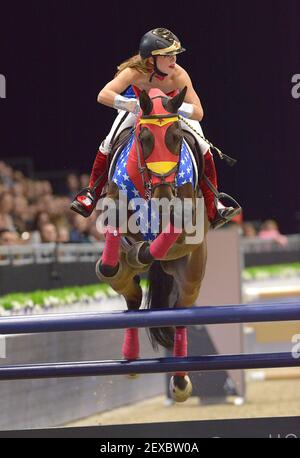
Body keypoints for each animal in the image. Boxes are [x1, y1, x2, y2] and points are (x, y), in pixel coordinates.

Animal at [95, 87, 209, 400]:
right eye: (144, 138)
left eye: (176, 138)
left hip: (191, 276)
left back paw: (180, 381)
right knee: (131, 296)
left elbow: (167, 234)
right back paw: (131, 356)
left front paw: (141, 253)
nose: (163, 195)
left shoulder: (185, 214)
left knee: (181, 312)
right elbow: (111, 251)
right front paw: (122, 261)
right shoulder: (114, 199)